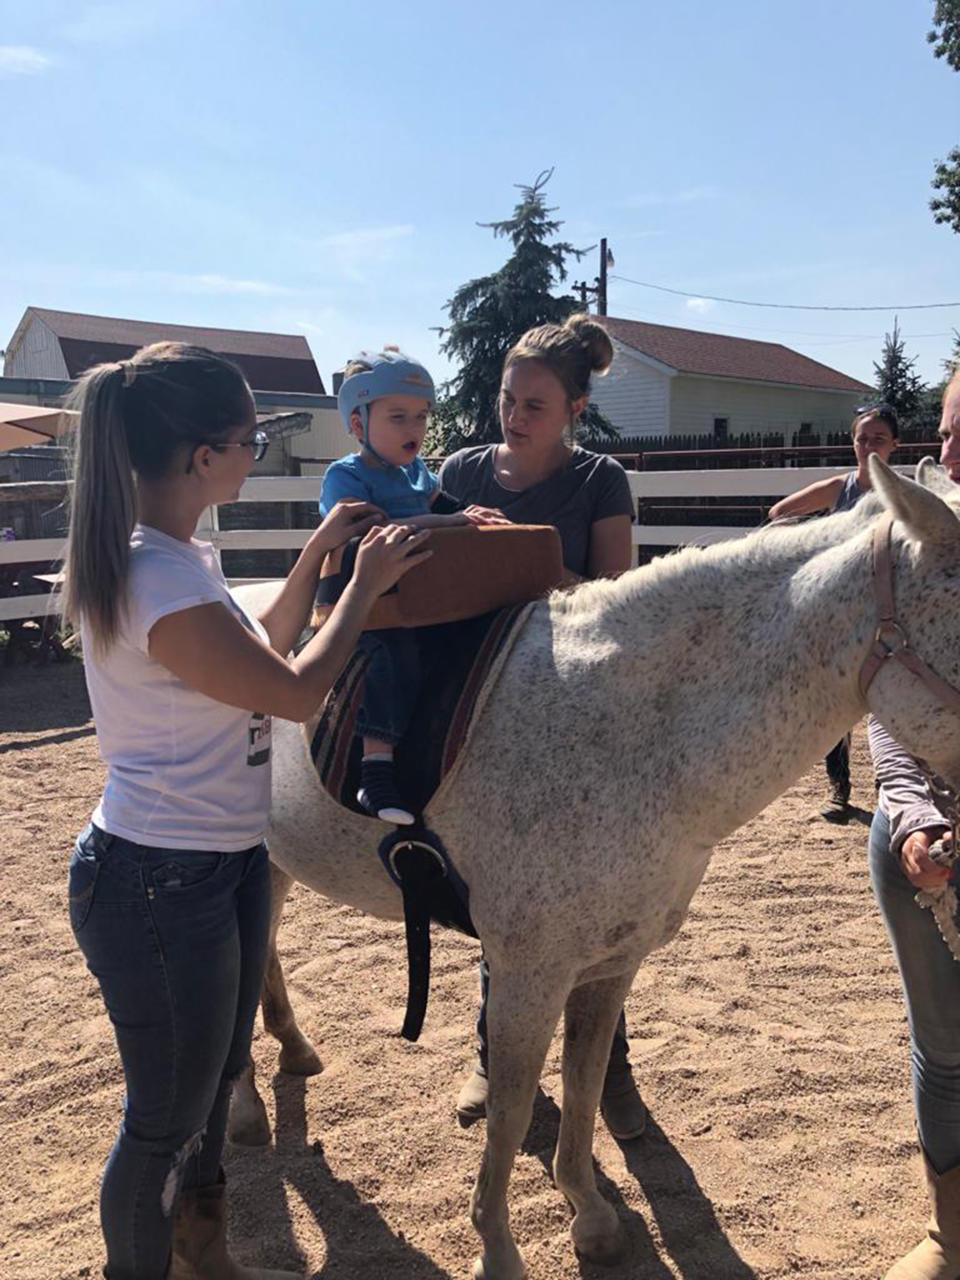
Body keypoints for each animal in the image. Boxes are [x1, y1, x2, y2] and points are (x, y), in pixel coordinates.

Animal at [227, 463, 960, 1280]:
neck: (624, 733)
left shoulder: (610, 963)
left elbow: (581, 1088)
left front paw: (592, 1218)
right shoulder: (529, 971)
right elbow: (512, 1109)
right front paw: (498, 1250)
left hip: (274, 862)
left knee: (264, 954)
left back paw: (293, 1051)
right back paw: (246, 1108)